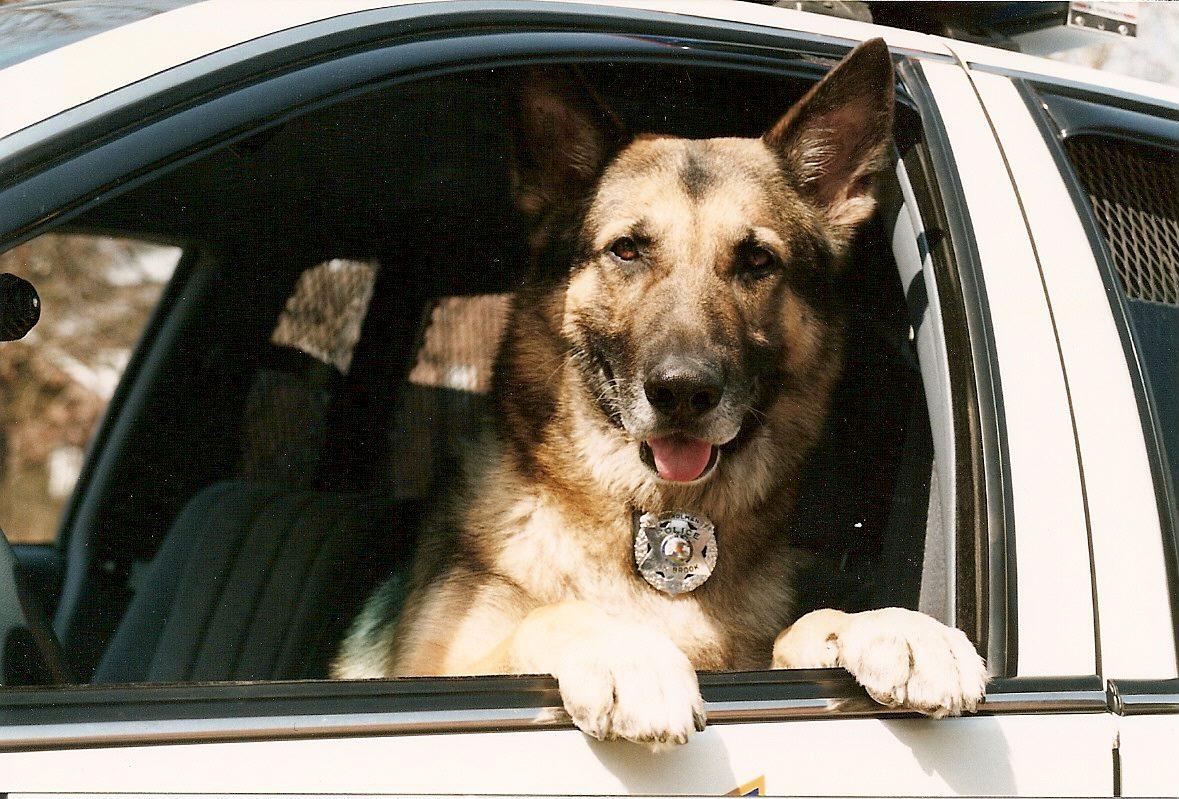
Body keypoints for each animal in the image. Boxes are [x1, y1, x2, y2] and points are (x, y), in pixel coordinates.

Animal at [337, 37, 990, 749]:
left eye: (758, 261)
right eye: (627, 250)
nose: (682, 392)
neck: (660, 524)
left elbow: (814, 619)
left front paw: (895, 626)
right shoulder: (437, 668)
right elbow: (552, 616)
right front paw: (630, 654)